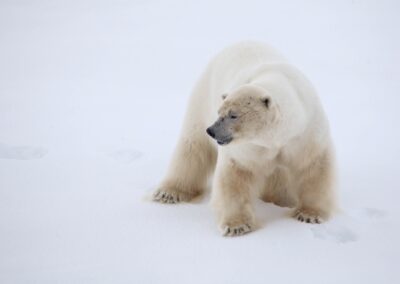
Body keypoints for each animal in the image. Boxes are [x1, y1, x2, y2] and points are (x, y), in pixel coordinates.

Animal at [153, 41, 338, 236]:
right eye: (220, 112)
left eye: (233, 115)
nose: (212, 131)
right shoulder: (249, 147)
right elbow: (237, 173)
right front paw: (237, 226)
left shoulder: (305, 134)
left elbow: (315, 167)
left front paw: (309, 214)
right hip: (202, 96)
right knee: (193, 147)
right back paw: (168, 192)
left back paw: (280, 199)